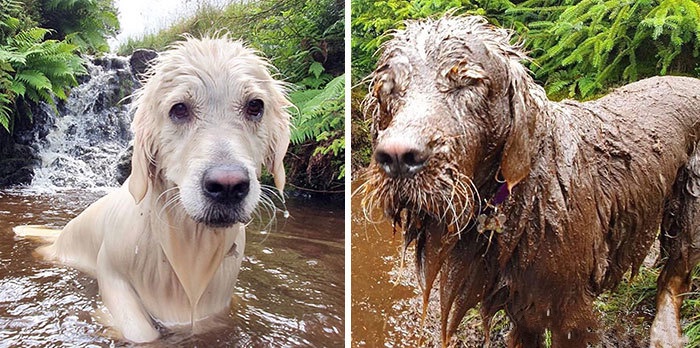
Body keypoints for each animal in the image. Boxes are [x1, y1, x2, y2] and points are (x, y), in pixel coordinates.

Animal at [14, 36, 292, 342]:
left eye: (255, 106)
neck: (186, 241)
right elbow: (141, 332)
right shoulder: (113, 274)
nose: (228, 186)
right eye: (179, 109)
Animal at [364, 14, 700, 346]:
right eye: (388, 90)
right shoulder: (523, 309)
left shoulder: (570, 312)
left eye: (467, 83)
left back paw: (665, 333)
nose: (397, 158)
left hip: (691, 203)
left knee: (675, 274)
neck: (524, 193)